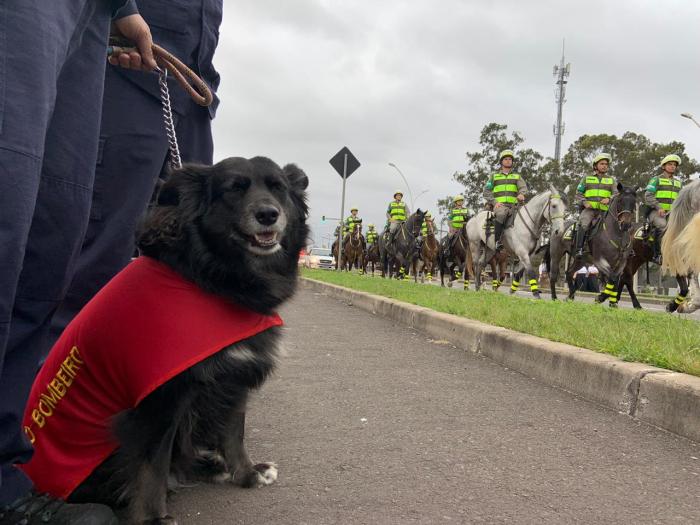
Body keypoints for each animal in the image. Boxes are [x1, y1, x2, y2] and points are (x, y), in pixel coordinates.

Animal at [60, 157, 308, 524]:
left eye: (278, 188)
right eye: (233, 189)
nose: (268, 214)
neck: (209, 276)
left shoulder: (233, 378)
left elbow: (235, 433)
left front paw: (247, 473)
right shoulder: (161, 398)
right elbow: (152, 464)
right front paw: (151, 517)